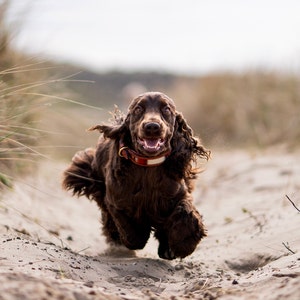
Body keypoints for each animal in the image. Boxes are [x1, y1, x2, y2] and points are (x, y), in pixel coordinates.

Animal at [62, 92, 210, 260]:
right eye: (138, 109)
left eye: (166, 109)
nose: (152, 126)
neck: (147, 165)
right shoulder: (116, 202)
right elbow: (132, 233)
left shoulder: (176, 195)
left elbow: (185, 212)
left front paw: (180, 245)